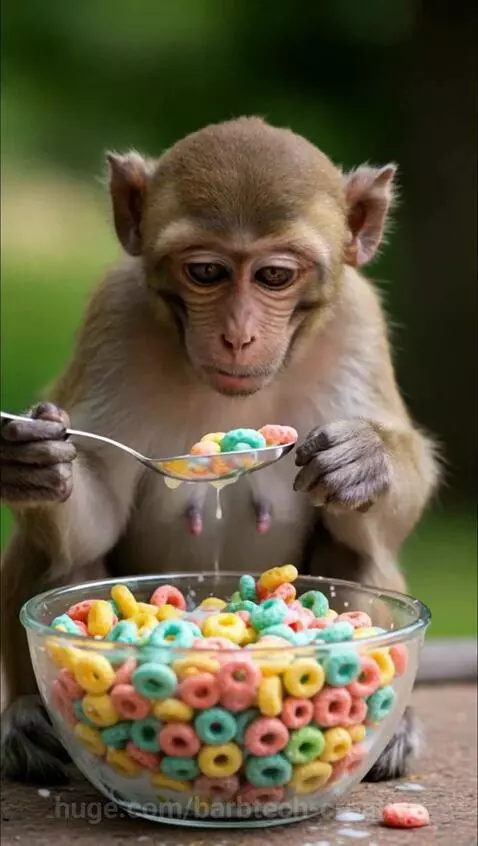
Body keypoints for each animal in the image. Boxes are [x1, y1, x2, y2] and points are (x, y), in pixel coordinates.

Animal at [0, 116, 441, 786]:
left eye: (274, 276)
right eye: (206, 272)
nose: (238, 335)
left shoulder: (360, 322)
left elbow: (392, 514)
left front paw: (365, 461)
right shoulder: (113, 315)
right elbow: (94, 521)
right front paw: (37, 463)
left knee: (361, 546)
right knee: (61, 557)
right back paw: (28, 716)